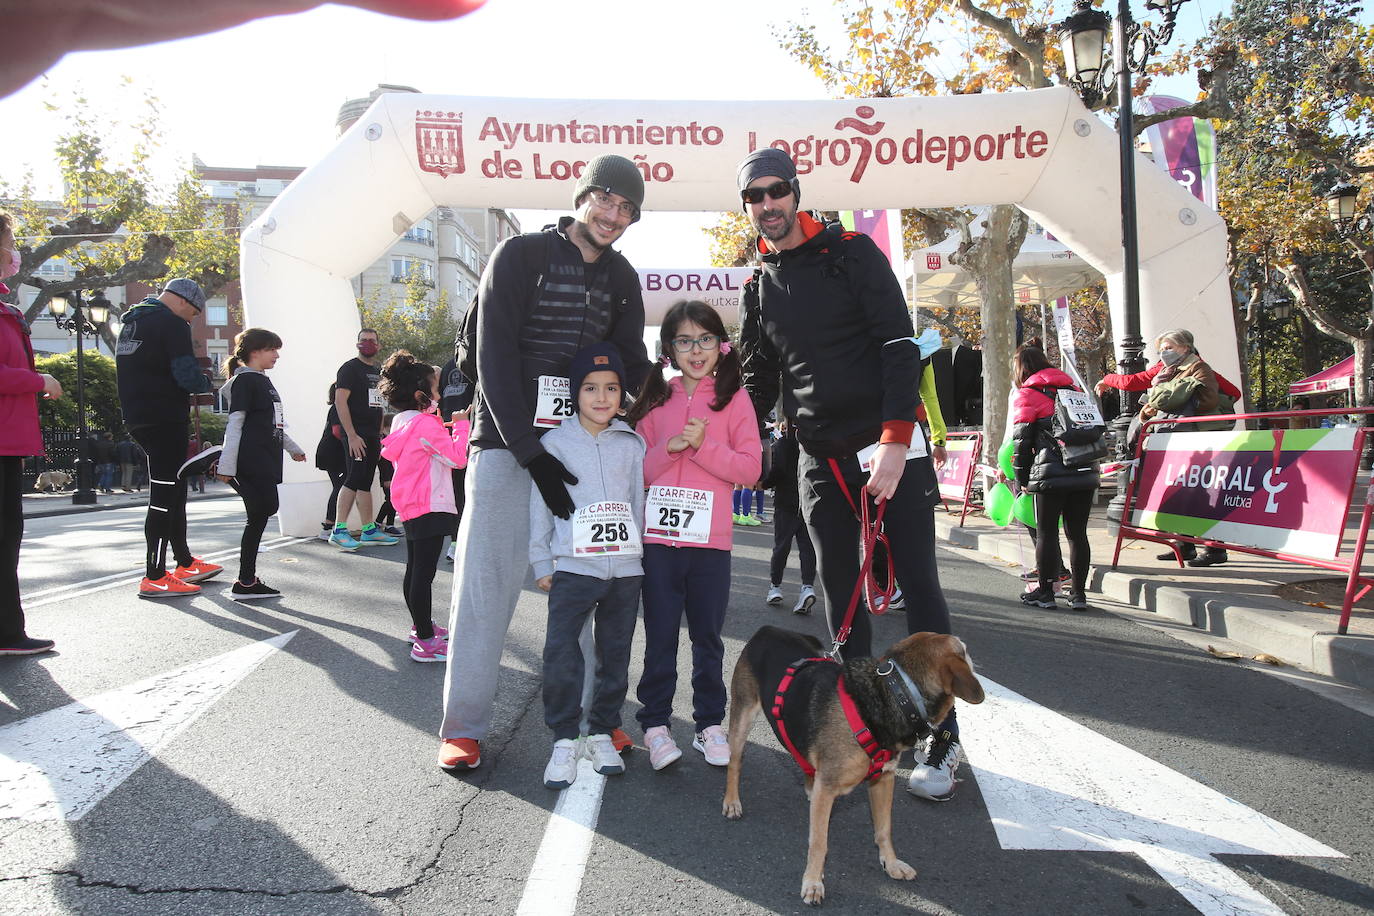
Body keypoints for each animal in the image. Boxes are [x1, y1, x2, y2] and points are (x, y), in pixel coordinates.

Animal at [725, 626, 983, 906]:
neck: (895, 693)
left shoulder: (883, 779)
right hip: (743, 714)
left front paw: (891, 863)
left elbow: (884, 829)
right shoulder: (829, 787)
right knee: (735, 763)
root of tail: (768, 630)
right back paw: (732, 801)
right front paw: (813, 882)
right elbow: (819, 842)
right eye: (964, 650)